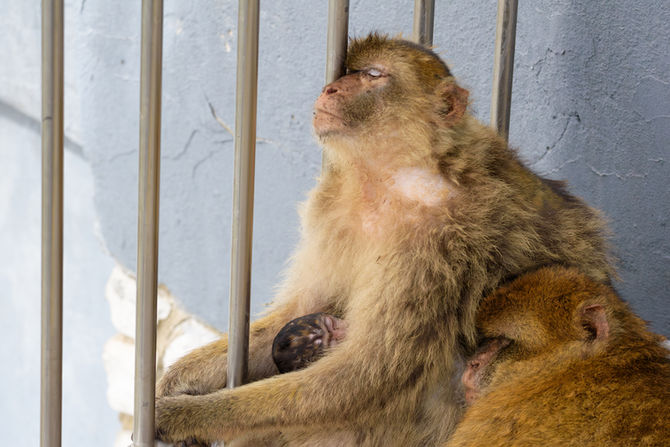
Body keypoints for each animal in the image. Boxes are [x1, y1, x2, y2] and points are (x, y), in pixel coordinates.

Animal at [154, 33, 614, 446]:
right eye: (347, 73)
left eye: (372, 75)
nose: (330, 89)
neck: (393, 178)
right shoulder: (332, 208)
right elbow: (303, 313)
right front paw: (171, 384)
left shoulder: (439, 245)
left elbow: (366, 375)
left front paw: (184, 415)